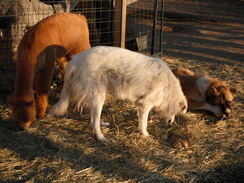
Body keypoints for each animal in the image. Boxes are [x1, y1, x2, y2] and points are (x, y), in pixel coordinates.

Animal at [49, 46, 187, 143]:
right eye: (176, 113)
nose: (171, 123)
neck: (168, 90)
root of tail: (75, 59)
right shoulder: (144, 104)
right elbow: (143, 123)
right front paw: (145, 134)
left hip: (96, 96)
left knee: (94, 116)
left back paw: (102, 124)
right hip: (99, 96)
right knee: (94, 120)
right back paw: (100, 137)